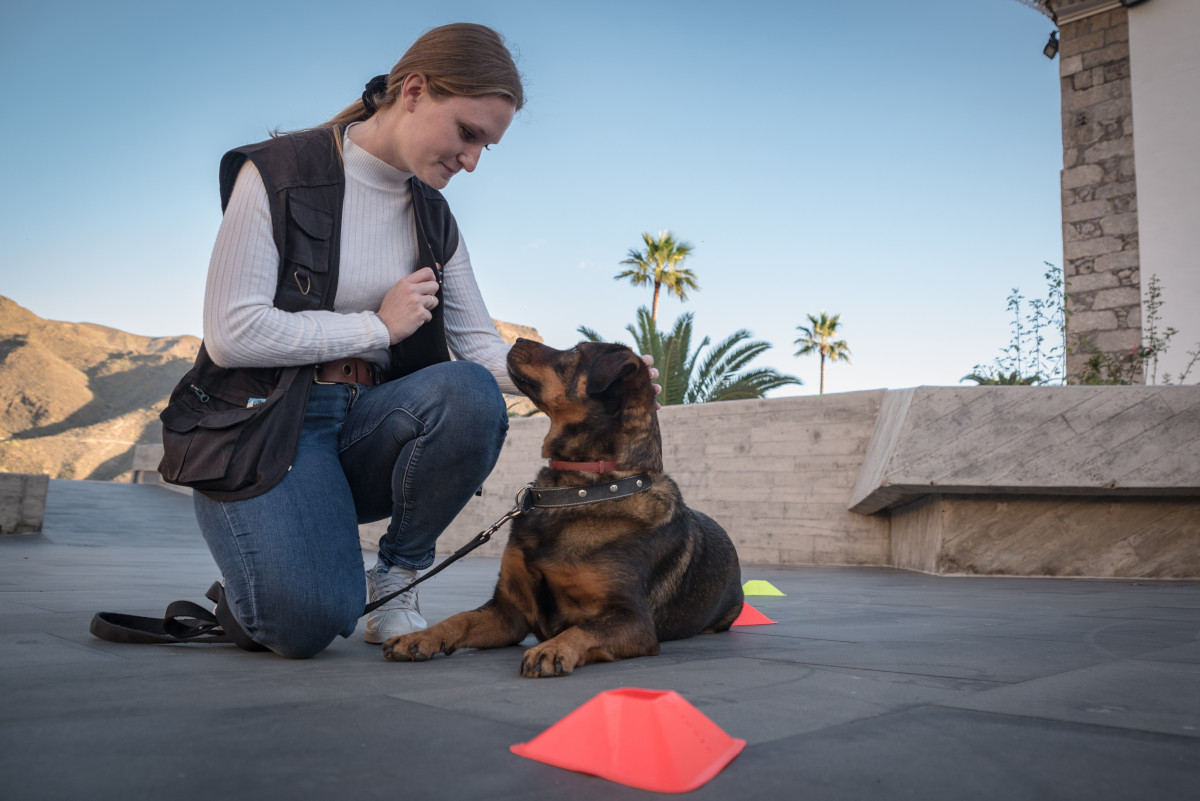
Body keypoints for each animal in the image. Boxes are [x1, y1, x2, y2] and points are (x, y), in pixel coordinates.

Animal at [381, 338, 739, 676]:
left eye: (575, 352)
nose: (518, 339)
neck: (583, 488)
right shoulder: (508, 612)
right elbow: (460, 619)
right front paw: (420, 637)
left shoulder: (633, 619)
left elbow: (585, 629)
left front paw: (552, 649)